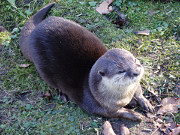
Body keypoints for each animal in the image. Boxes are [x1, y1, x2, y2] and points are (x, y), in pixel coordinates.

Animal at [19, 2, 153, 121]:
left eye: (135, 60)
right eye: (121, 71)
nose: (136, 72)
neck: (123, 97)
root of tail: (33, 34)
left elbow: (138, 90)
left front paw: (145, 102)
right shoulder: (97, 105)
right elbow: (115, 113)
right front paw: (134, 114)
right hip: (43, 67)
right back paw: (62, 95)